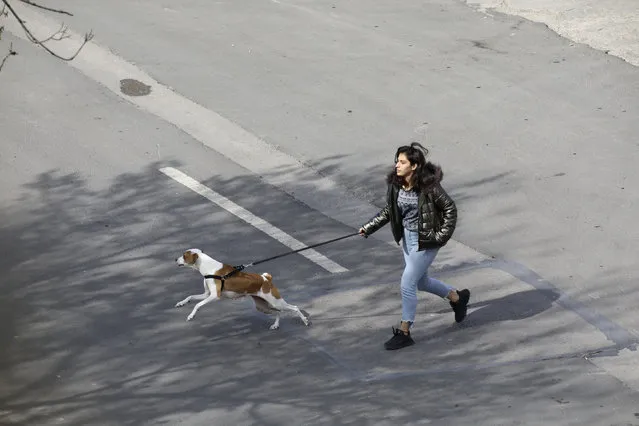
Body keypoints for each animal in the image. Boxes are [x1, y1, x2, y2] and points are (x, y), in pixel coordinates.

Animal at [174, 250, 312, 330]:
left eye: (184, 256)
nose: (175, 259)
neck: (208, 267)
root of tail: (266, 279)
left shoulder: (214, 296)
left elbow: (197, 304)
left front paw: (191, 315)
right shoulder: (206, 294)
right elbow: (190, 297)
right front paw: (181, 303)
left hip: (276, 302)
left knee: (294, 307)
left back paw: (305, 320)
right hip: (263, 306)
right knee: (278, 312)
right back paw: (276, 325)